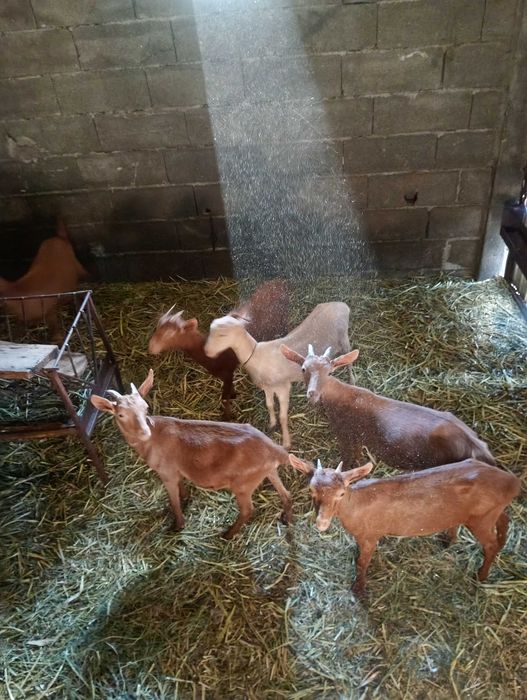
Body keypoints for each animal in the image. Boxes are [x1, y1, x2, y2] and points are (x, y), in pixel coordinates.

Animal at [90, 369, 292, 539]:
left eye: (145, 408)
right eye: (121, 415)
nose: (144, 433)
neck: (155, 439)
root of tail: (275, 450)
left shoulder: (167, 473)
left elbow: (174, 502)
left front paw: (178, 524)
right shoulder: (176, 470)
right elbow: (182, 488)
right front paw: (186, 498)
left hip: (243, 485)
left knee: (248, 510)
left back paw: (228, 534)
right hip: (268, 471)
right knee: (286, 493)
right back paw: (286, 517)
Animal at [148, 279, 289, 420]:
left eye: (170, 333)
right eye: (157, 327)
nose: (151, 347)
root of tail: (279, 281)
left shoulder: (228, 371)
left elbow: (224, 398)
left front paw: (226, 417)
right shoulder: (222, 373)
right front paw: (233, 395)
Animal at [204, 303, 350, 449]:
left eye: (222, 335)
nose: (206, 351)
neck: (256, 356)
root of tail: (341, 305)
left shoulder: (283, 388)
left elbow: (283, 416)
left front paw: (286, 442)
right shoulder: (267, 387)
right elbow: (269, 405)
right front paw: (272, 424)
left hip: (344, 338)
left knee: (349, 361)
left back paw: (352, 380)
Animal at [280, 346, 495, 469]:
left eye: (330, 372)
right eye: (303, 369)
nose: (313, 394)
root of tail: (480, 449)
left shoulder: (348, 436)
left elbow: (350, 460)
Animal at [289, 454, 520, 596]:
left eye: (341, 493)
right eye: (311, 490)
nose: (321, 523)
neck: (356, 505)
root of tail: (513, 483)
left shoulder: (370, 536)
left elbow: (362, 563)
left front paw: (358, 588)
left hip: (481, 519)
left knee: (489, 544)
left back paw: (481, 576)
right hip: (487, 514)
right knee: (504, 519)